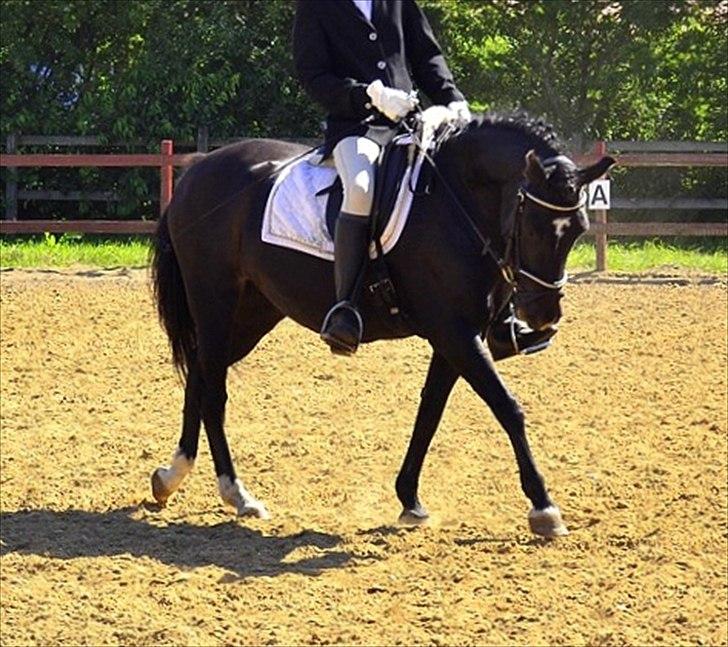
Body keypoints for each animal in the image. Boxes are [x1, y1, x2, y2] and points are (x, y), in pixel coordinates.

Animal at [150, 110, 614, 537]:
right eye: (533, 227)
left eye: (578, 229)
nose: (544, 315)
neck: (456, 203)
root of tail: (196, 171)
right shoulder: (455, 332)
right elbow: (507, 407)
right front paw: (544, 506)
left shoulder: (457, 336)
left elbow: (430, 412)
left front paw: (410, 498)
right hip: (215, 302)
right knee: (213, 390)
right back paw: (237, 493)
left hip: (252, 312)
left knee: (200, 375)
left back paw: (171, 477)